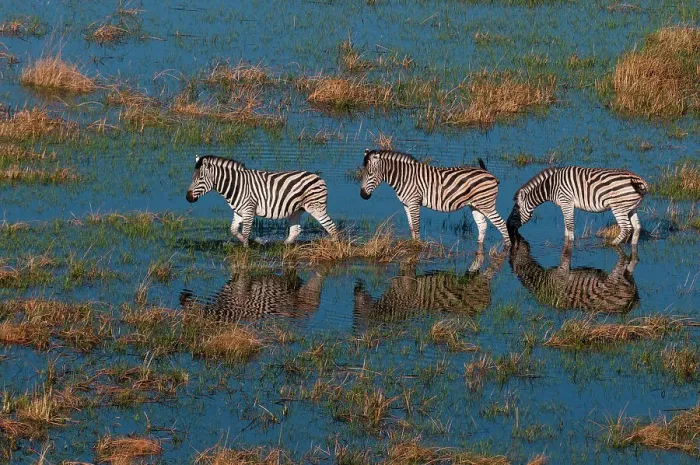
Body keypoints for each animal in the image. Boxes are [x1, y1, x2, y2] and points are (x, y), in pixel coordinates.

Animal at [186, 155, 337, 246]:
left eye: (200, 179)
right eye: (192, 178)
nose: (188, 198)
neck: (237, 186)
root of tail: (318, 177)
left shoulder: (248, 210)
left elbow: (245, 232)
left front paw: (245, 250)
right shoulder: (239, 212)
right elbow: (234, 230)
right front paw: (253, 241)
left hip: (316, 207)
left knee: (331, 227)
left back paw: (335, 247)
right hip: (296, 210)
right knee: (295, 230)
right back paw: (283, 246)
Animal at [360, 149, 511, 244]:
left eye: (370, 174)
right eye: (362, 173)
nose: (363, 196)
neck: (404, 178)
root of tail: (490, 174)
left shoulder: (414, 202)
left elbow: (416, 226)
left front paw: (417, 246)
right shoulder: (406, 204)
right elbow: (411, 227)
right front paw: (412, 243)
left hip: (487, 205)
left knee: (502, 225)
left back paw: (507, 249)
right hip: (476, 206)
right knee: (483, 225)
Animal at [506, 167, 648, 245]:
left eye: (515, 211)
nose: (508, 227)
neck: (551, 186)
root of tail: (639, 181)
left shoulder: (566, 201)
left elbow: (569, 225)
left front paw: (570, 243)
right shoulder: (565, 205)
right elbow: (566, 225)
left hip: (618, 207)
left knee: (626, 228)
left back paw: (611, 244)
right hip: (631, 208)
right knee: (637, 227)